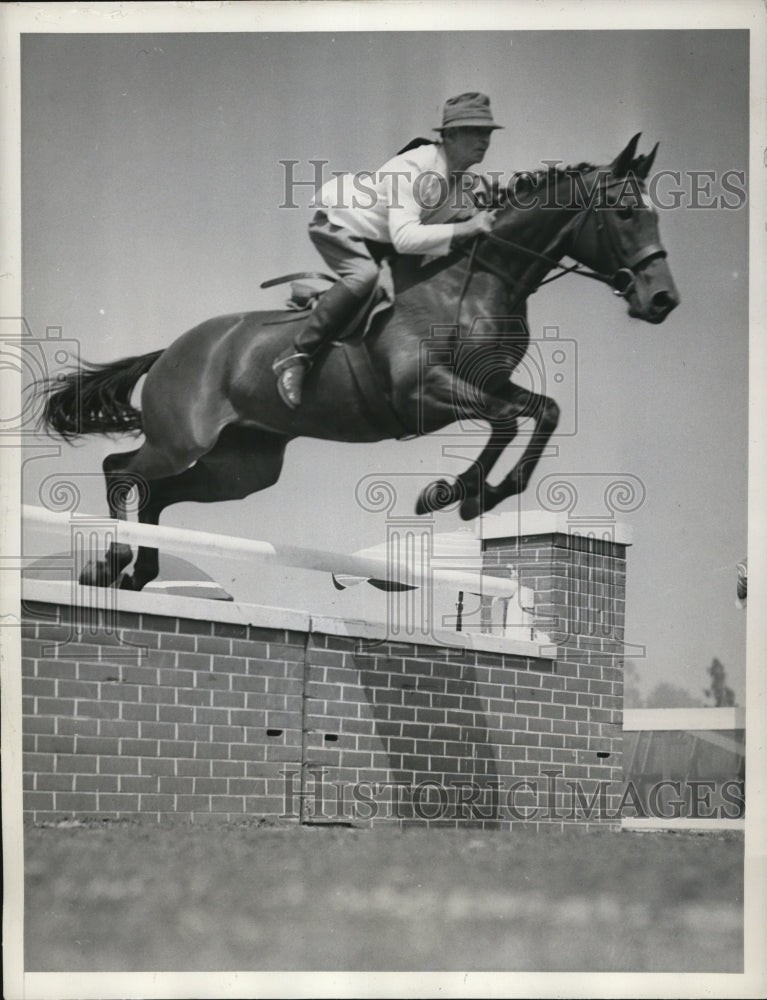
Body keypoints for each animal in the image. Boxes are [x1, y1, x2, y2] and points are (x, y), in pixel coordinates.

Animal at [40, 129, 680, 588]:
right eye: (626, 213)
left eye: (656, 213)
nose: (663, 300)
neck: (481, 281)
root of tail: (170, 350)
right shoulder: (425, 392)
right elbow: (504, 421)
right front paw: (454, 493)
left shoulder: (491, 383)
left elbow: (541, 413)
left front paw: (477, 495)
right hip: (182, 440)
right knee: (121, 470)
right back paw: (109, 563)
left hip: (243, 466)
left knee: (158, 493)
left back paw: (138, 573)